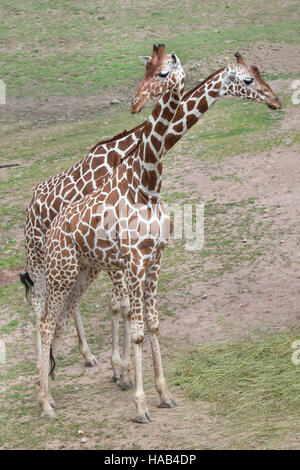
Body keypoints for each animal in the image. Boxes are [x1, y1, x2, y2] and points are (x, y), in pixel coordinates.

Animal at [21, 51, 282, 390]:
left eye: (258, 71)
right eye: (248, 79)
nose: (275, 100)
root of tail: (29, 206)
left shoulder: (115, 256)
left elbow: (122, 306)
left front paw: (124, 371)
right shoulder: (119, 251)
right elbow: (122, 306)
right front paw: (124, 371)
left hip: (81, 264)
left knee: (68, 302)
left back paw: (84, 357)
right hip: (41, 257)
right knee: (41, 305)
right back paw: (48, 373)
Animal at [37, 43, 185, 422]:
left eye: (163, 73)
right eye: (144, 70)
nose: (134, 103)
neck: (147, 186)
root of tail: (53, 230)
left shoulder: (155, 259)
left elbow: (153, 326)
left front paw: (165, 395)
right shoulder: (134, 261)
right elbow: (137, 332)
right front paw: (140, 405)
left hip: (81, 271)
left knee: (56, 320)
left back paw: (52, 392)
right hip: (60, 272)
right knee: (45, 323)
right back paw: (45, 403)